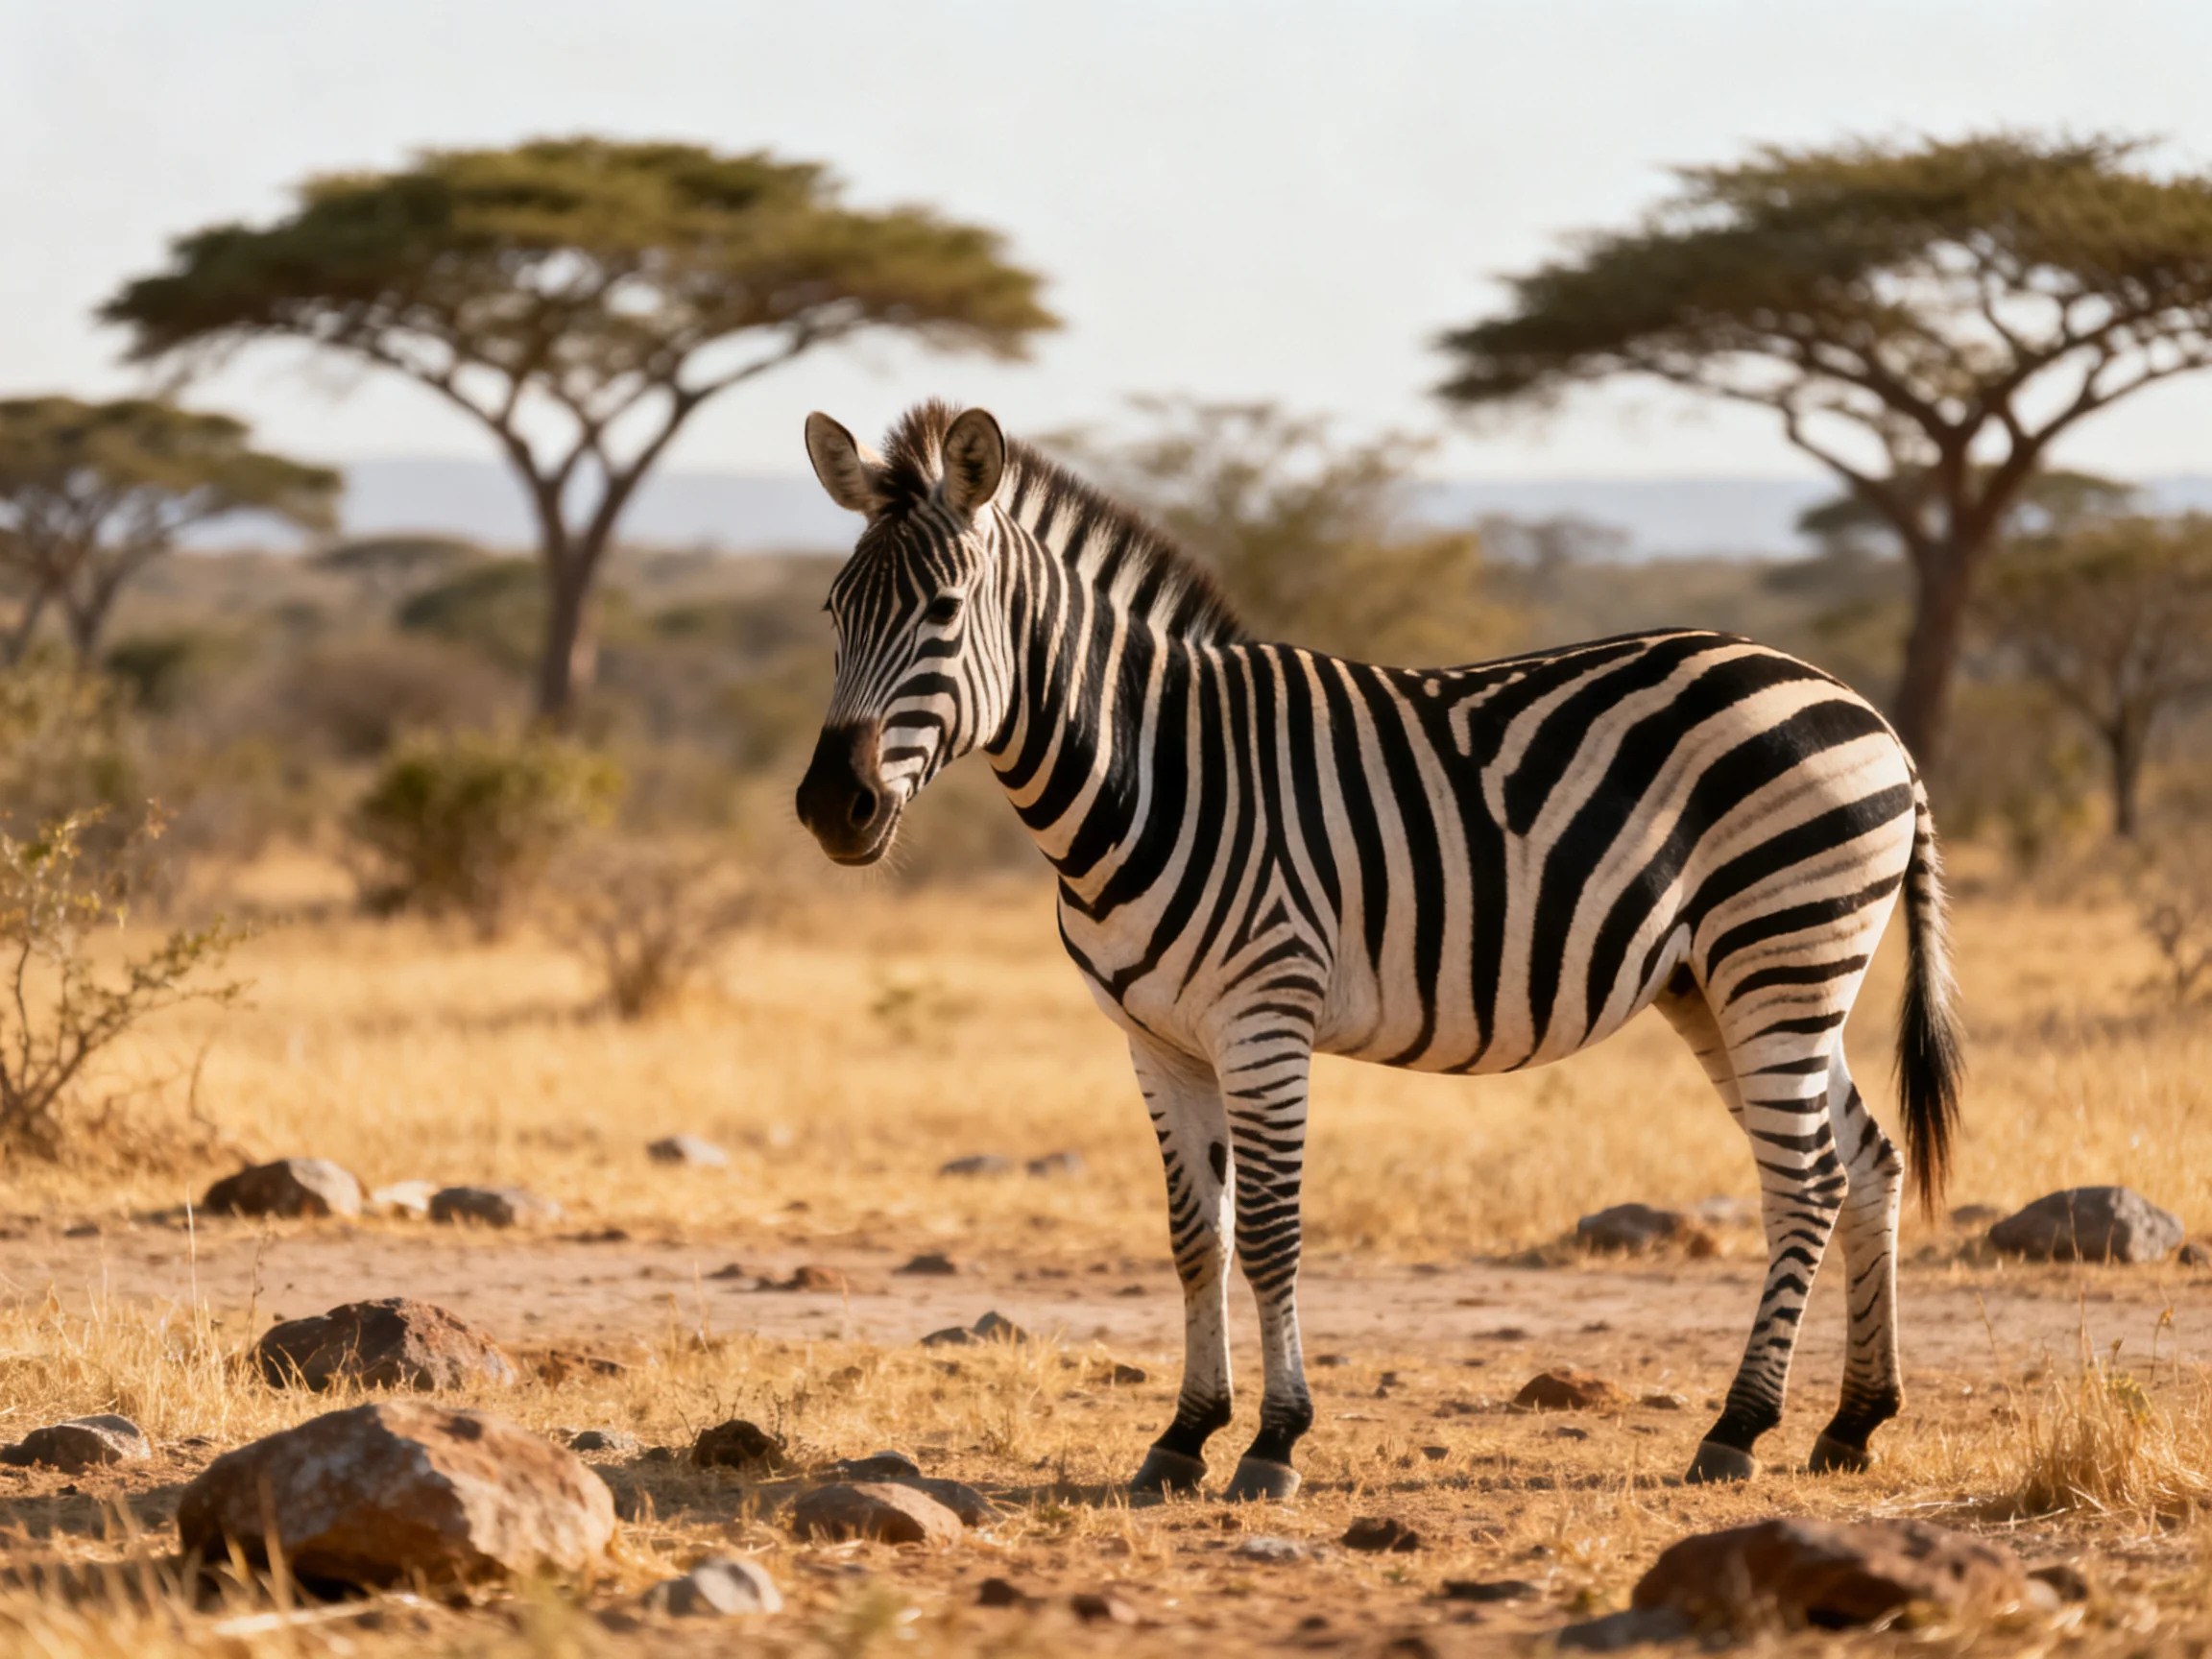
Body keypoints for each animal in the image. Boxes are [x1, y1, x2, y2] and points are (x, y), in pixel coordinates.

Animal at [795, 400, 1964, 1501]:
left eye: (943, 612)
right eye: (833, 613)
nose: (829, 809)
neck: (1146, 774)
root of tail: (1866, 714)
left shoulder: (1264, 1016)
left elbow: (1271, 1231)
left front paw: (1272, 1444)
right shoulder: (1156, 1038)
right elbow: (1196, 1237)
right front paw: (1183, 1437)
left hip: (1781, 958)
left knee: (1806, 1180)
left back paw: (1739, 1428)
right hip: (1725, 984)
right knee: (1867, 1161)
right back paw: (1852, 1423)